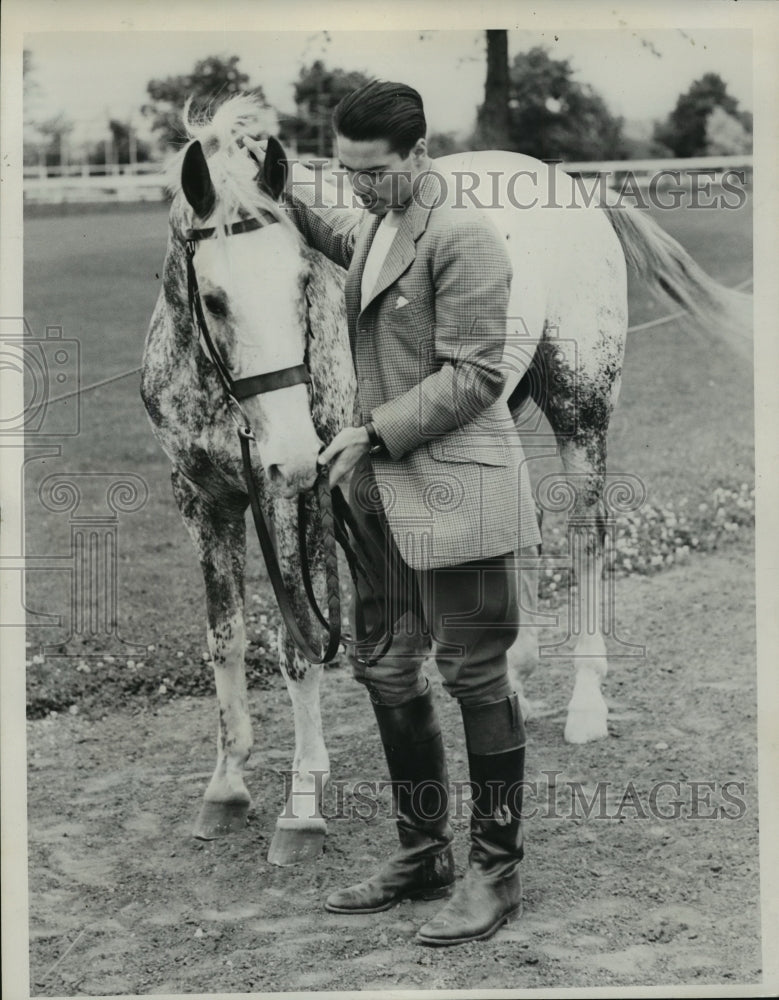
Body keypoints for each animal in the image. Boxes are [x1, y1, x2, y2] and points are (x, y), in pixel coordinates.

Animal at [140, 92, 748, 860]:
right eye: (215, 299)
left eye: (302, 282)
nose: (293, 451)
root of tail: (573, 187)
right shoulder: (201, 500)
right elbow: (224, 640)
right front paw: (225, 785)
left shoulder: (295, 502)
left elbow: (298, 645)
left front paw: (301, 804)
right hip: (487, 405)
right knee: (522, 528)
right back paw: (516, 671)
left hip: (580, 413)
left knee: (586, 538)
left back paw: (585, 701)